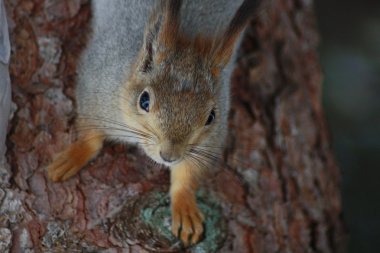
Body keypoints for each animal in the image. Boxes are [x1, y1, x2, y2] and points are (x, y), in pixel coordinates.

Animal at [48, 0, 258, 246]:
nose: (169, 156)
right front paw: (72, 157)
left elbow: (188, 172)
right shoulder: (94, 88)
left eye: (211, 117)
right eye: (144, 100)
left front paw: (185, 206)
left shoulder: (209, 142)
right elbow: (90, 137)